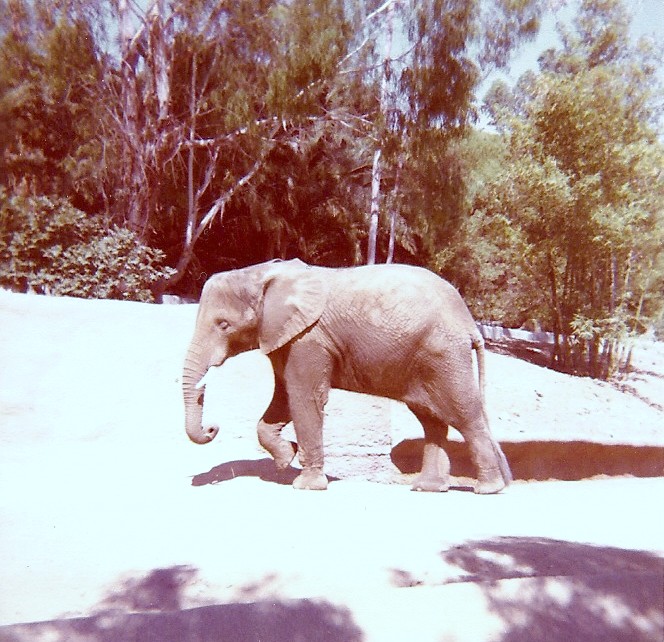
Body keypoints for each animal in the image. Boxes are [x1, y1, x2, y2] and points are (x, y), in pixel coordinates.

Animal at [182, 259, 512, 494]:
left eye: (223, 325)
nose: (212, 427)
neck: (261, 274)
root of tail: (469, 322)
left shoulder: (308, 339)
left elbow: (305, 398)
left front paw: (306, 485)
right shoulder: (285, 338)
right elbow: (285, 397)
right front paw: (285, 458)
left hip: (443, 354)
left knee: (464, 414)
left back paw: (488, 489)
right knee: (431, 419)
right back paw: (428, 488)